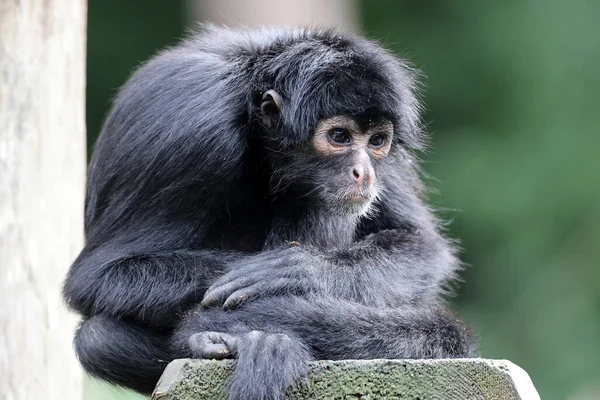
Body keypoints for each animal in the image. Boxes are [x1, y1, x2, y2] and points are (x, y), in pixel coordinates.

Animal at [63, 26, 476, 398]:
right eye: (339, 137)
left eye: (376, 141)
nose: (364, 171)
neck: (247, 96)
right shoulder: (192, 134)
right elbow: (97, 277)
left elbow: (422, 245)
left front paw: (299, 271)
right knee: (98, 338)